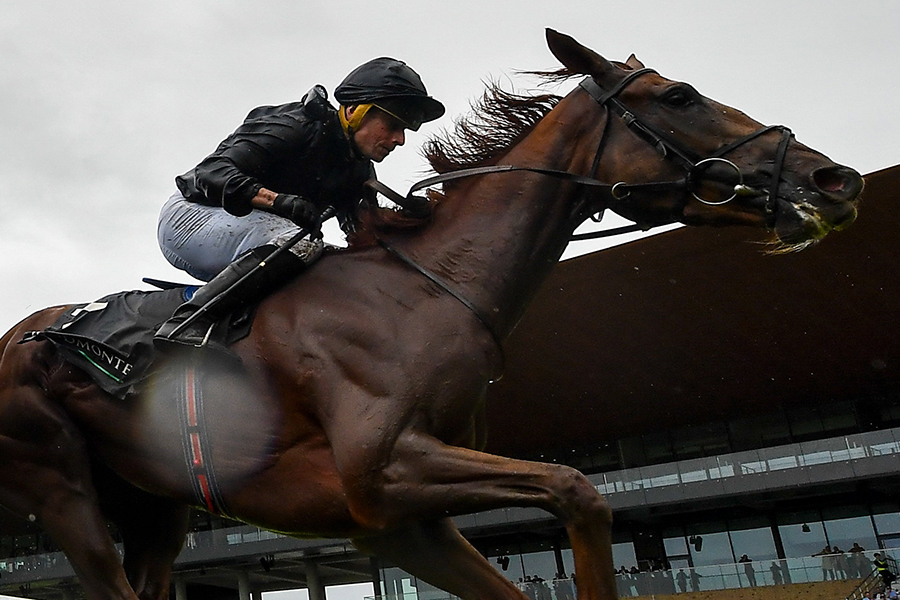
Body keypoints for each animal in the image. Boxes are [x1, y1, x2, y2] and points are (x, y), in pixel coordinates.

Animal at [0, 30, 860, 600]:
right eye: (679, 96)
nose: (835, 178)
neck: (431, 289)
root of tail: (19, 334)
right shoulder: (383, 474)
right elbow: (578, 489)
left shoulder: (402, 522)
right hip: (62, 487)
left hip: (156, 508)